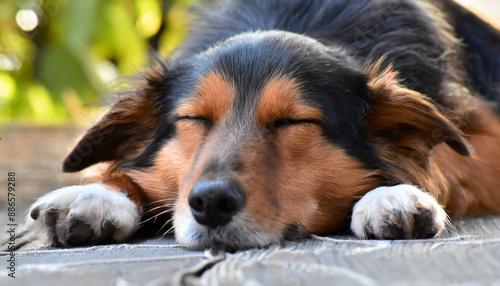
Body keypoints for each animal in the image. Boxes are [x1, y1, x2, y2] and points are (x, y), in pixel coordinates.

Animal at [26, 0, 500, 249]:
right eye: (194, 118)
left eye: (293, 121)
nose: (210, 203)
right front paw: (98, 193)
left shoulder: (482, 134)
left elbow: (441, 158)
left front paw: (393, 192)